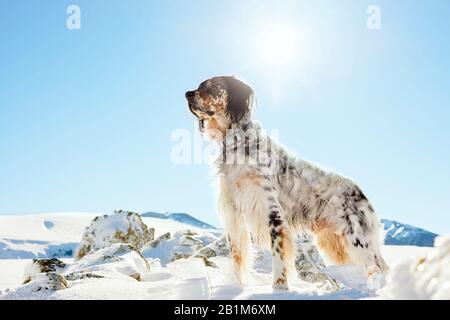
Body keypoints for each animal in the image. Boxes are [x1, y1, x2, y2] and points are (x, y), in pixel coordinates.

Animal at [185, 75, 388, 290]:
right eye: (199, 86)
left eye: (214, 86)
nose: (187, 94)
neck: (238, 144)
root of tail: (362, 193)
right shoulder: (234, 214)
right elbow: (237, 259)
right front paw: (239, 287)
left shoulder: (273, 212)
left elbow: (278, 255)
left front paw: (279, 286)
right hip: (334, 244)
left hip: (358, 241)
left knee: (377, 267)